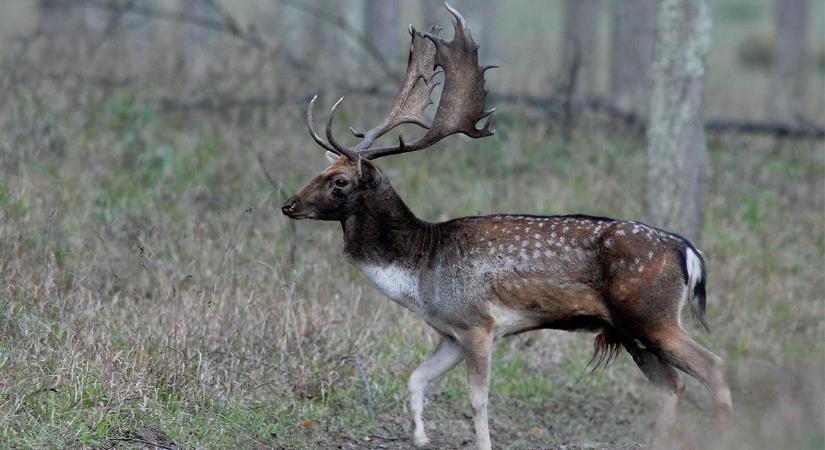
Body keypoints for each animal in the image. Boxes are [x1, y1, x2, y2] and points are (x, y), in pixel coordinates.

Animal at [280, 4, 732, 450]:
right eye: (322, 171)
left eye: (340, 181)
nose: (288, 204)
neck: (418, 272)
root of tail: (689, 252)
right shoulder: (450, 332)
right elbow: (415, 378)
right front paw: (421, 437)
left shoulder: (477, 323)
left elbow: (477, 400)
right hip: (630, 329)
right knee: (671, 387)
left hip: (652, 314)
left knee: (714, 367)